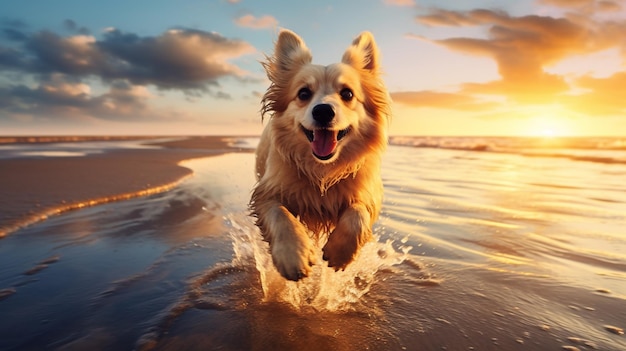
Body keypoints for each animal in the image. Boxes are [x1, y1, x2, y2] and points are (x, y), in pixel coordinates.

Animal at [250, 30, 390, 284]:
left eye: (347, 94)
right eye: (303, 93)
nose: (323, 111)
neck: (323, 170)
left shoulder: (367, 193)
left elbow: (358, 213)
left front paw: (340, 251)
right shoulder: (266, 192)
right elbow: (280, 214)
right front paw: (293, 256)